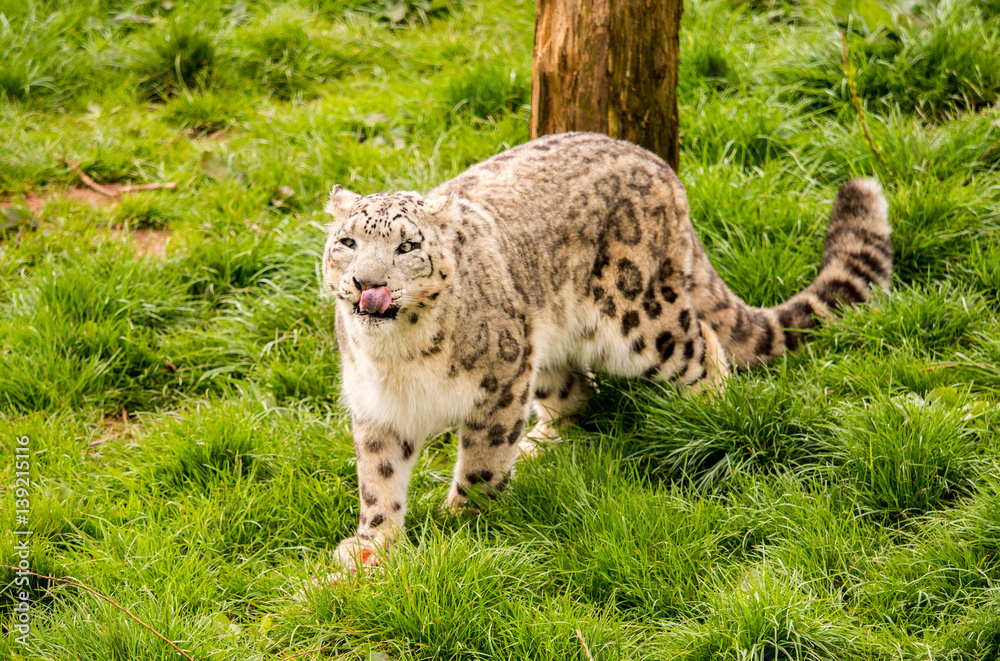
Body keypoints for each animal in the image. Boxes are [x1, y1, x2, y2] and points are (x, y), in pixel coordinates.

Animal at [313, 131, 891, 586]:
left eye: (408, 247)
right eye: (347, 242)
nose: (367, 283)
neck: (399, 358)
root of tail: (659, 166)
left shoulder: (502, 379)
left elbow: (484, 458)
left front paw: (461, 522)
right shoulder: (375, 408)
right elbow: (378, 479)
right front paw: (372, 547)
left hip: (641, 322)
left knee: (701, 341)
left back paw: (711, 417)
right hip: (550, 349)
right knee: (578, 396)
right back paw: (542, 446)